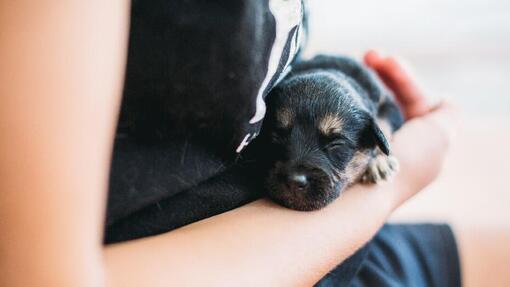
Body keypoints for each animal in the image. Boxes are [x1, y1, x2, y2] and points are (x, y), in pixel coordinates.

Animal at [260, 55, 404, 212]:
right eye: (276, 136)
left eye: (336, 144)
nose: (294, 181)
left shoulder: (389, 104)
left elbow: (383, 123)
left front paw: (379, 160)